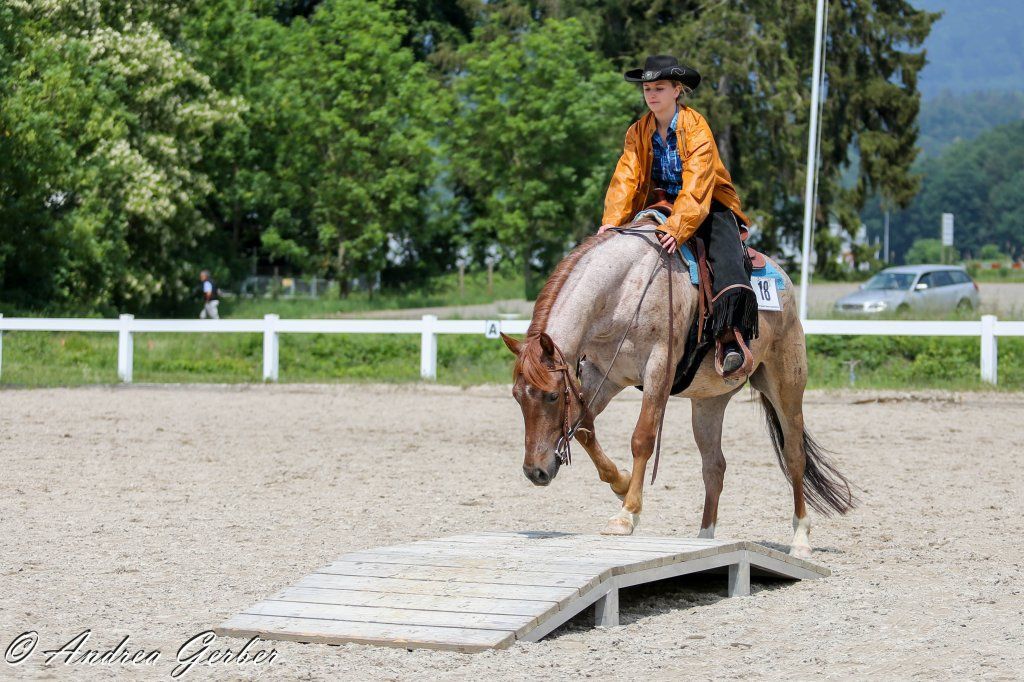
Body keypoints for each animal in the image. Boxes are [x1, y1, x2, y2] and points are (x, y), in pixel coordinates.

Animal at [500, 228, 855, 559]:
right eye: (517, 397)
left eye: (552, 396)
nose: (535, 471)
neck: (626, 288)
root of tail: (783, 280)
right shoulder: (604, 375)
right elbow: (585, 429)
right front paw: (621, 482)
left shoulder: (659, 368)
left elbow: (642, 438)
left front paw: (627, 514)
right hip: (708, 403)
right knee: (714, 466)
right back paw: (704, 537)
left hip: (786, 384)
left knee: (794, 457)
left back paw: (800, 540)